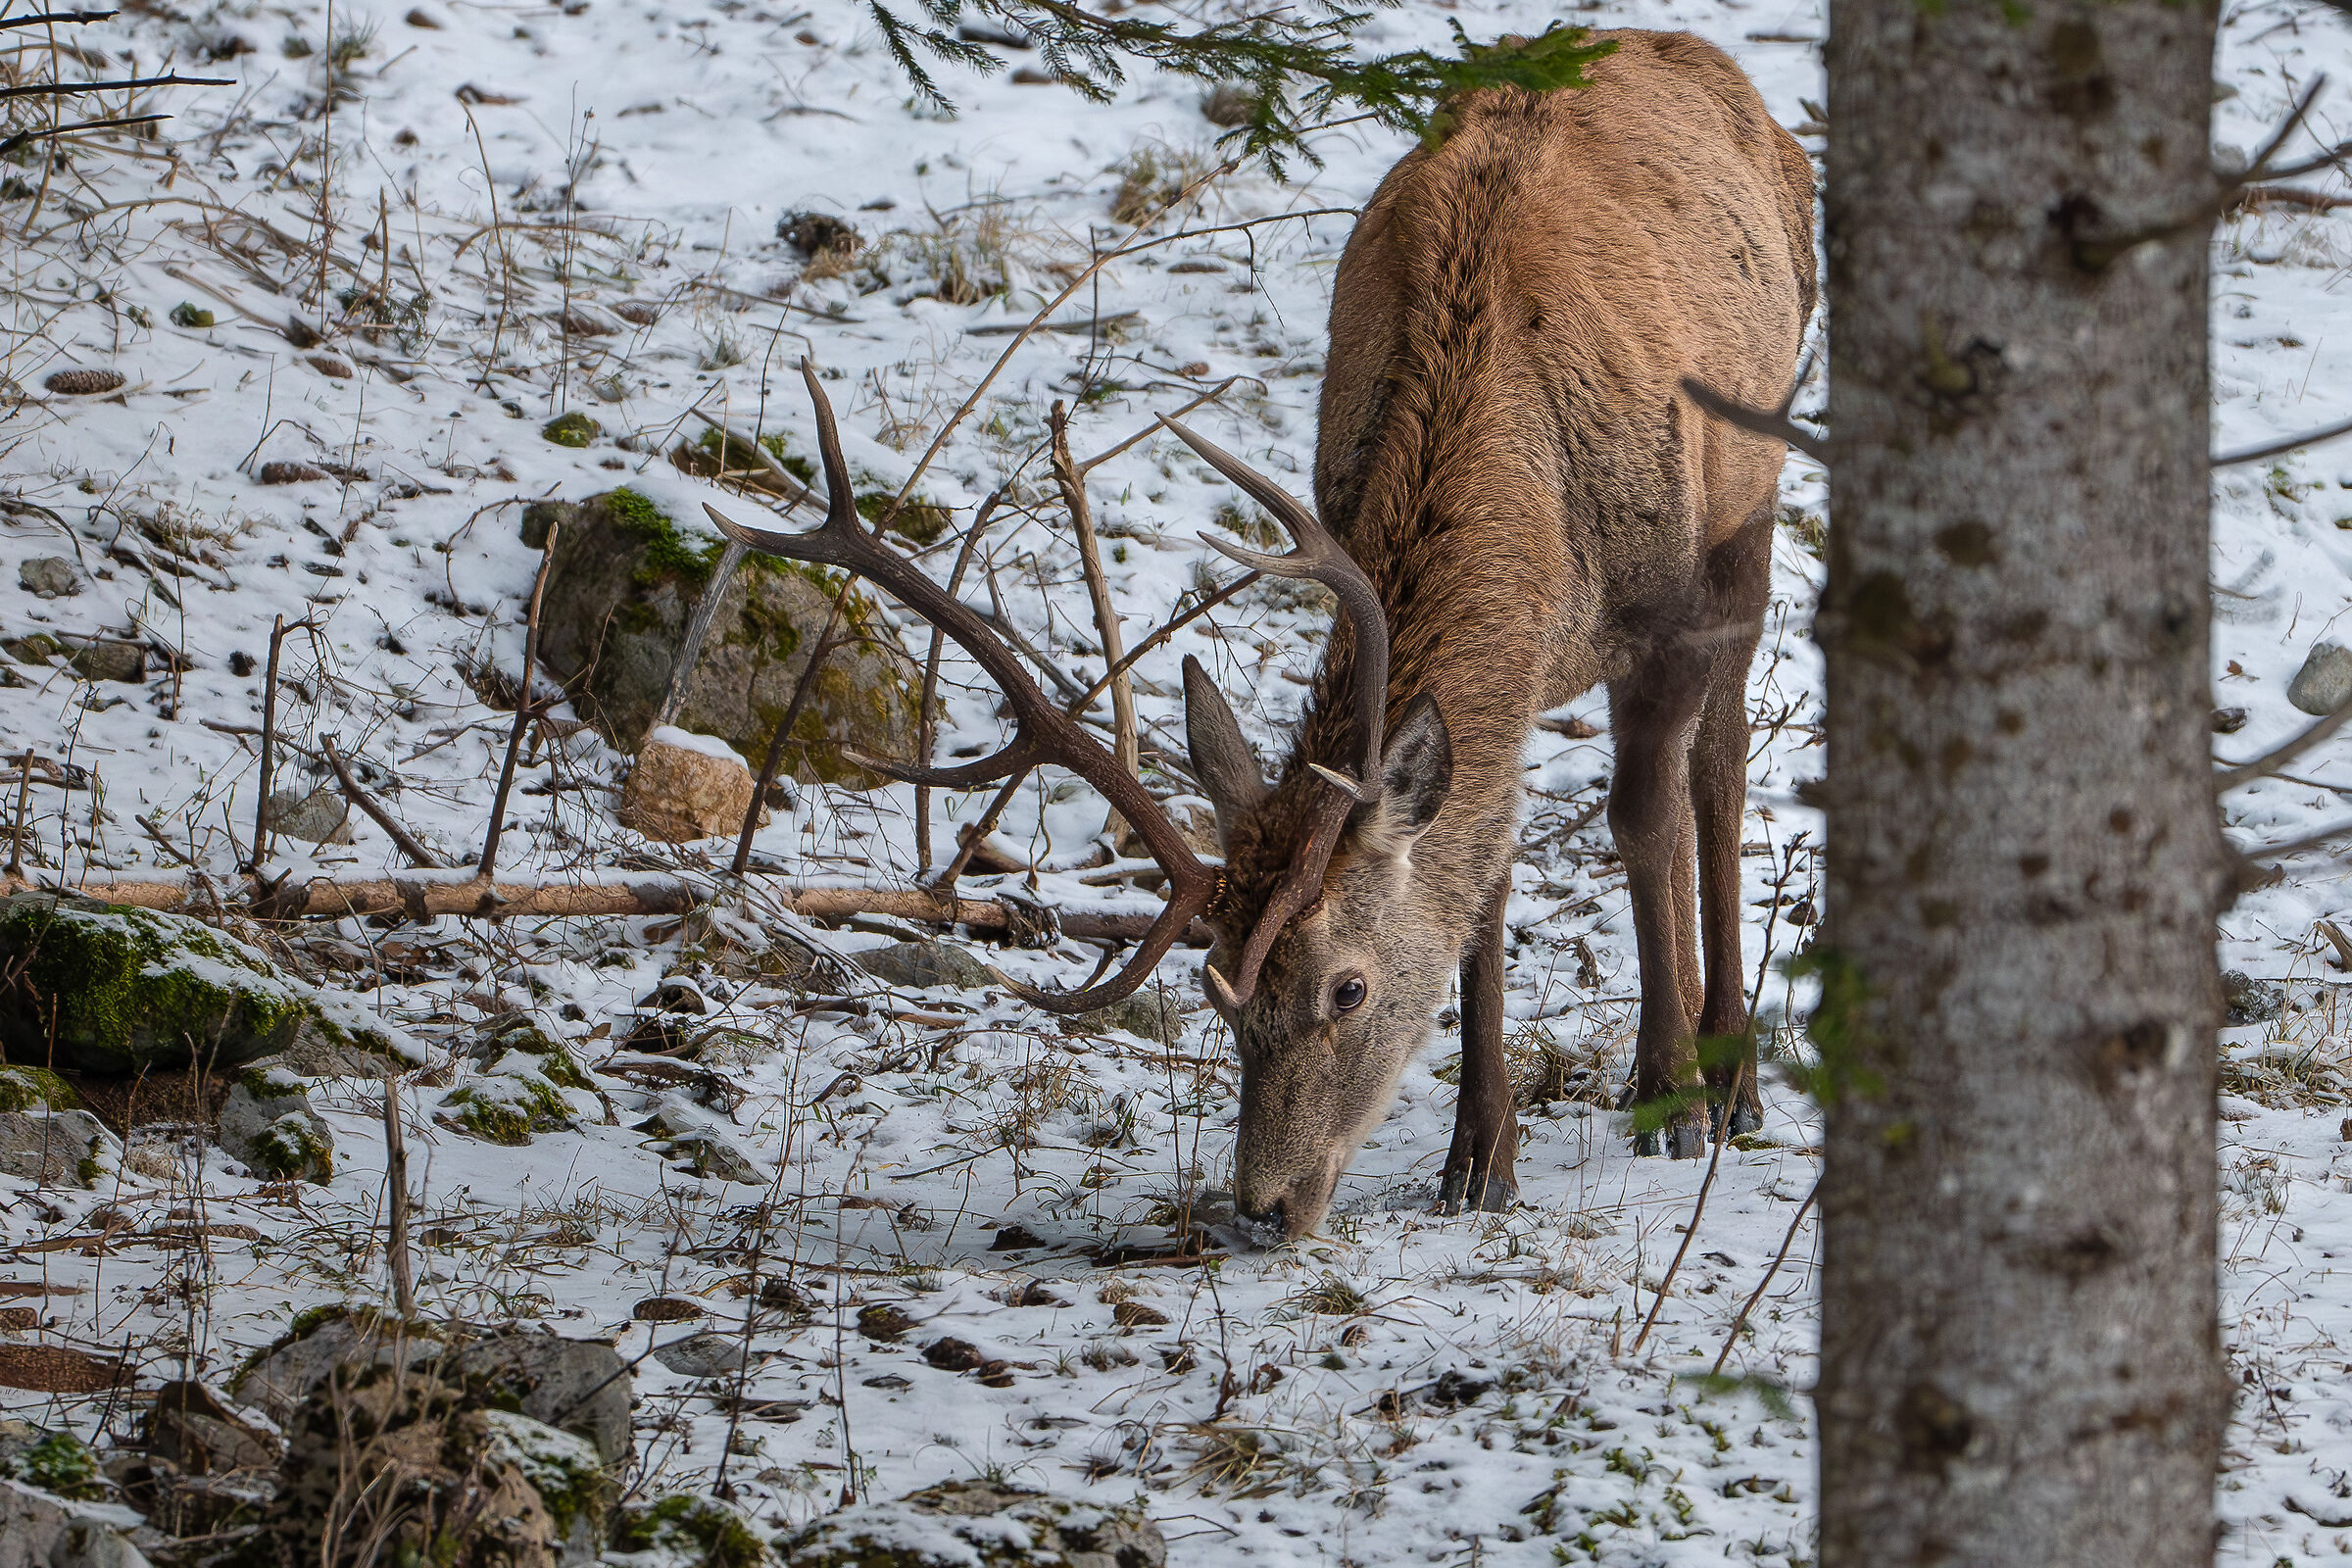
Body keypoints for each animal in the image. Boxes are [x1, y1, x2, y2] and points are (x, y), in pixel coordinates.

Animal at [706, 28, 1816, 1246]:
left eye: (1349, 987)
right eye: (1223, 992)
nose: (1264, 1205)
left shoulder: (1664, 600)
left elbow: (1644, 816)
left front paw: (1671, 1095)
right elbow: (1481, 880)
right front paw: (1481, 1157)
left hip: (1754, 485)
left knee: (1720, 764)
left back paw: (1732, 1076)